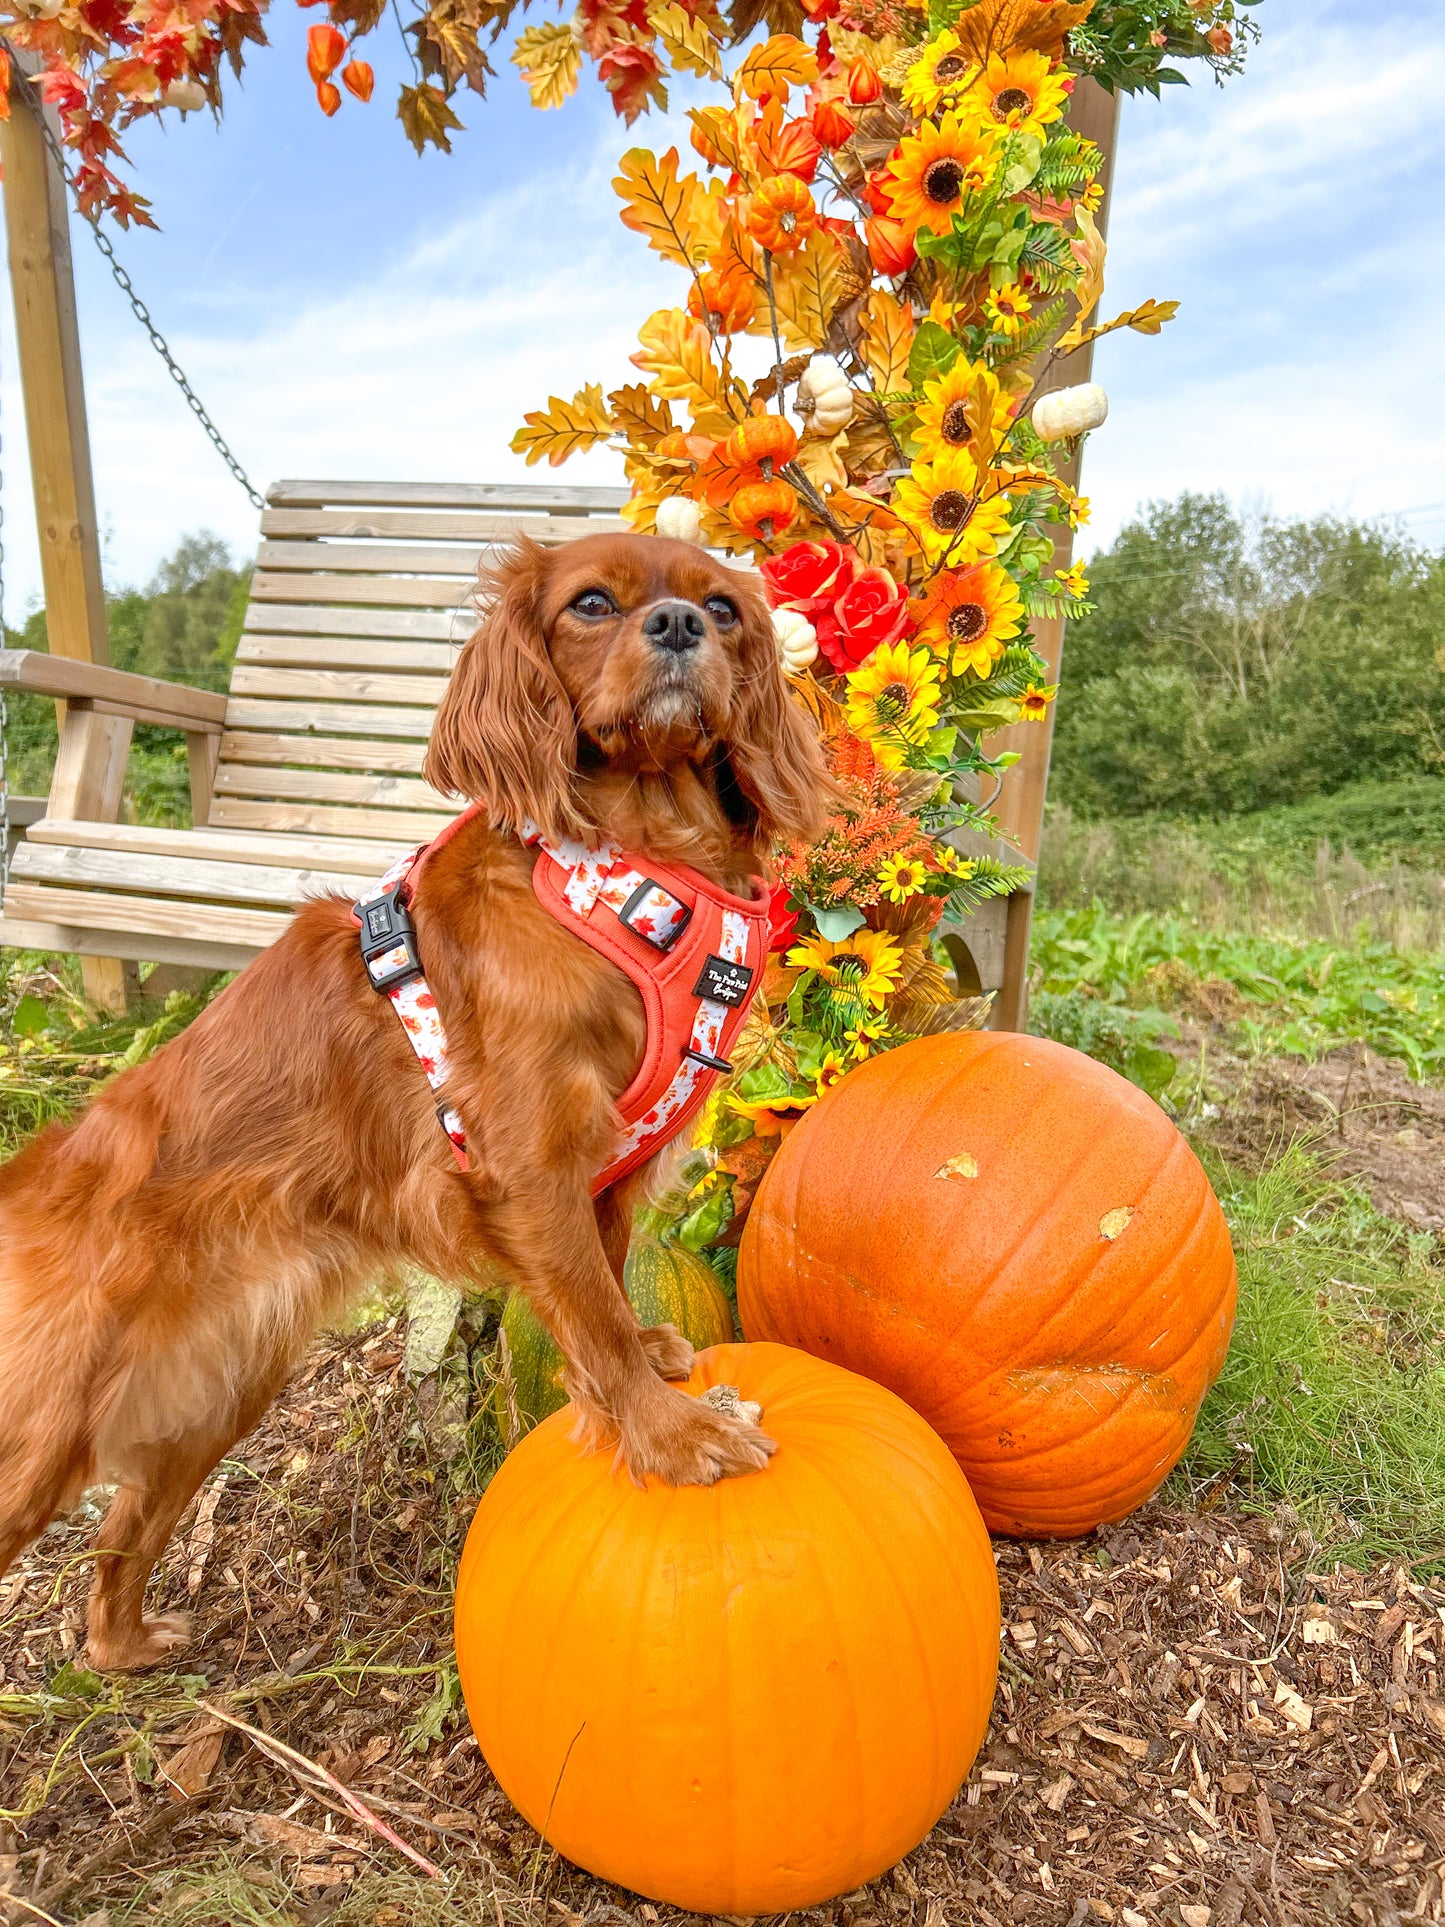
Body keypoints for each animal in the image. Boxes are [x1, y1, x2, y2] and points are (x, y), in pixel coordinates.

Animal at [0, 531, 832, 1672]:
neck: (634, 868)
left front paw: (639, 1380)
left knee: (122, 1533)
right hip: (43, 1433)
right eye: (591, 604)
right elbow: (593, 1311)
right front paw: (671, 1433)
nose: (675, 626)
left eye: (722, 607)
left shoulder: (600, 1176)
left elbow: (605, 1288)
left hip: (212, 1402)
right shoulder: (529, 1168)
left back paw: (123, 1645)